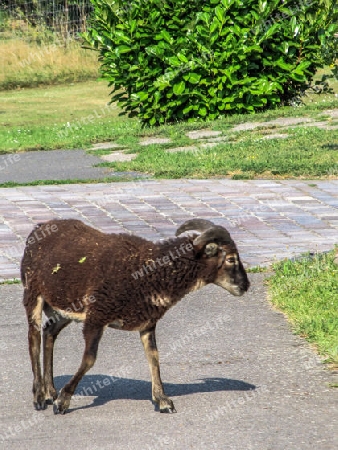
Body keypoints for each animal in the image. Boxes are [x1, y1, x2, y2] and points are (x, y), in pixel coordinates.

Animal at [20, 218, 248, 414]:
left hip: (63, 307)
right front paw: (64, 401)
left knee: (49, 332)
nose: (246, 286)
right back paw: (39, 397)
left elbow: (153, 357)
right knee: (33, 337)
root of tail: (40, 227)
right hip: (33, 292)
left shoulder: (147, 323)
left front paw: (163, 401)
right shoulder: (97, 316)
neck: (150, 271)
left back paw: (50, 392)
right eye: (231, 259)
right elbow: (89, 359)